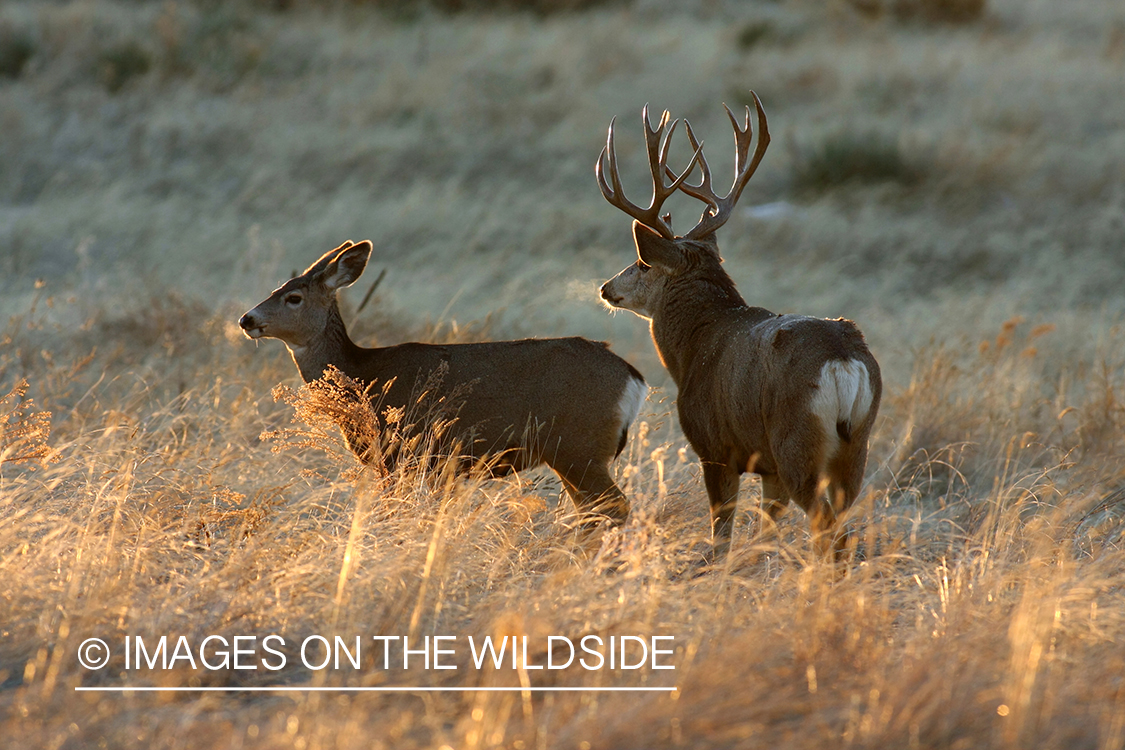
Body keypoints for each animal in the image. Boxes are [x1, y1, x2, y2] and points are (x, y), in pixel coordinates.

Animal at [239, 240, 647, 526]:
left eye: (293, 297)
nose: (247, 319)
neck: (362, 375)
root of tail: (634, 377)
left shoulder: (397, 455)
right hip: (573, 454)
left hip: (580, 447)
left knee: (614, 507)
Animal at [595, 93, 882, 562]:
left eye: (641, 262)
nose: (606, 287)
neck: (694, 347)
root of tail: (842, 359)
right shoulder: (767, 469)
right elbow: (763, 532)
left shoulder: (714, 446)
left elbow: (722, 533)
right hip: (857, 443)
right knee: (843, 523)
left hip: (796, 440)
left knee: (824, 524)